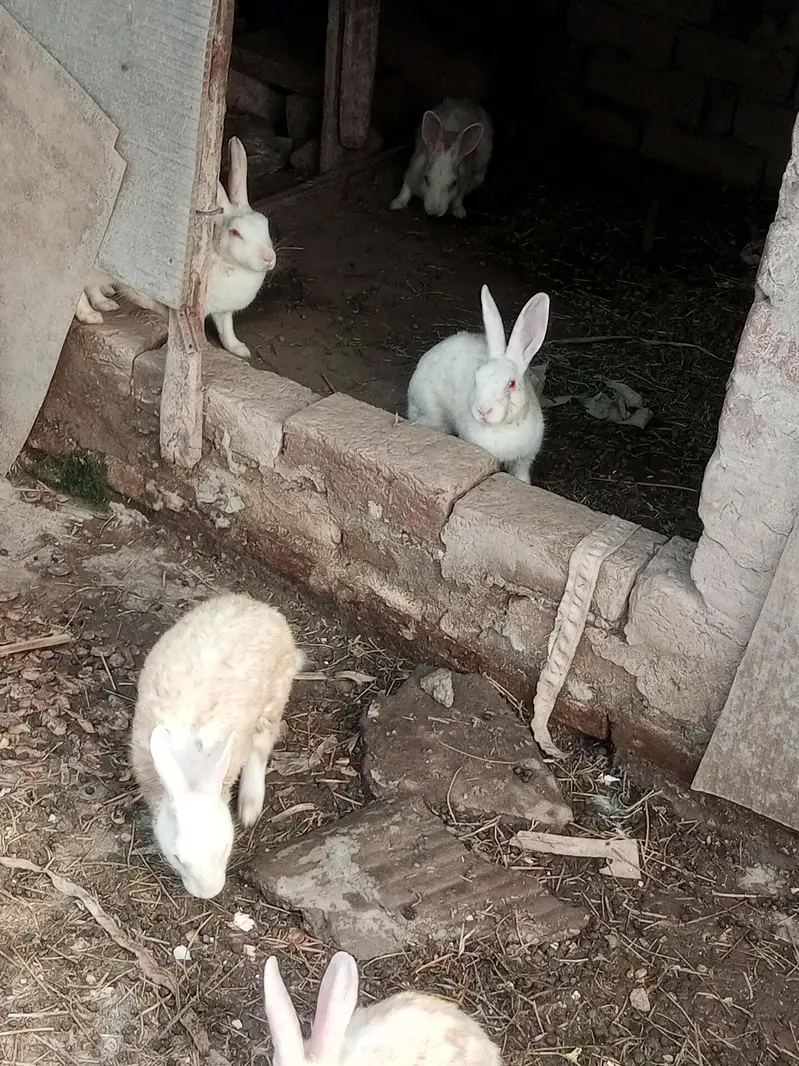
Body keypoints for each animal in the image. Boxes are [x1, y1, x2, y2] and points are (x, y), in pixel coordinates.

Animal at [74, 137, 276, 359]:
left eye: (265, 224)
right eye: (235, 233)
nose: (269, 258)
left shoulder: (224, 311)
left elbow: (226, 329)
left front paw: (240, 350)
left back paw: (105, 302)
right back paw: (91, 315)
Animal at [130, 592, 302, 899]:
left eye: (225, 848)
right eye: (178, 858)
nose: (209, 893)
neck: (191, 772)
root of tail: (259, 607)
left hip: (273, 700)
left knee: (260, 749)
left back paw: (249, 808)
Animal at [407, 285, 550, 483]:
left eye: (511, 384)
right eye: (476, 379)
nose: (483, 411)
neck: (504, 428)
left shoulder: (524, 459)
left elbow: (521, 476)